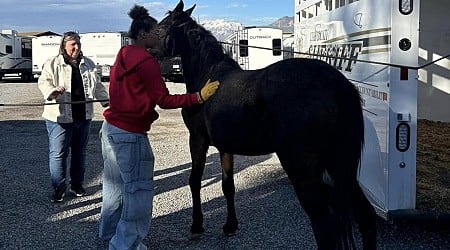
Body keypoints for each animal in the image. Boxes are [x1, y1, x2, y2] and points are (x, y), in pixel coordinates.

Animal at [153, 1, 378, 248]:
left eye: (159, 29)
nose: (149, 52)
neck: (208, 77)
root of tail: (337, 84)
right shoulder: (225, 147)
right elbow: (227, 186)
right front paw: (230, 226)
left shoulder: (198, 139)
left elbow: (194, 181)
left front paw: (197, 226)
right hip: (340, 166)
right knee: (366, 218)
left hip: (305, 171)